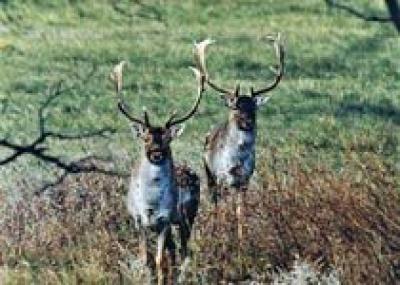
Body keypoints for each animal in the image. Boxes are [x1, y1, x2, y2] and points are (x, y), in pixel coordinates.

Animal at [193, 33, 284, 246]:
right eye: (235, 107)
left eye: (254, 107)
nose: (248, 122)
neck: (237, 160)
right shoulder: (222, 176)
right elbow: (224, 210)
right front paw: (223, 237)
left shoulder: (245, 180)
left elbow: (241, 212)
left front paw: (242, 240)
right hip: (210, 175)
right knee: (215, 203)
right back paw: (215, 233)